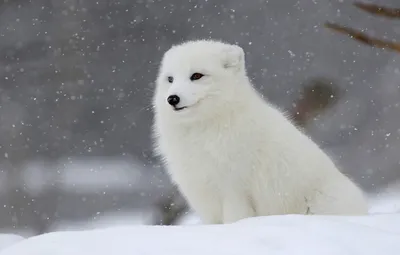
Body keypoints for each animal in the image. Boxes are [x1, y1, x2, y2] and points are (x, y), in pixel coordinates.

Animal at [152, 39, 368, 223]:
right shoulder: (202, 194)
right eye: (170, 79)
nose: (172, 98)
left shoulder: (234, 191)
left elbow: (235, 220)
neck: (202, 132)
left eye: (196, 76)